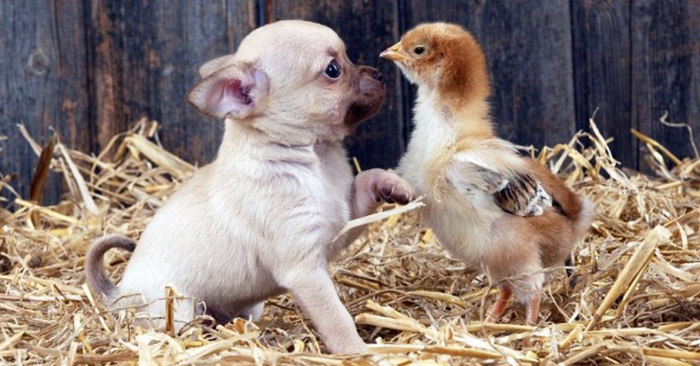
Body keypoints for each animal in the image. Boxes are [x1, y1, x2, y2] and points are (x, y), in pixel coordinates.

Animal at [87, 20, 416, 354]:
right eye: (333, 70)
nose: (378, 73)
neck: (317, 159)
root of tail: (119, 297)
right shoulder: (305, 269)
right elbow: (337, 319)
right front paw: (357, 352)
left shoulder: (344, 219)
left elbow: (367, 178)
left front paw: (394, 185)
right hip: (177, 307)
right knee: (182, 326)